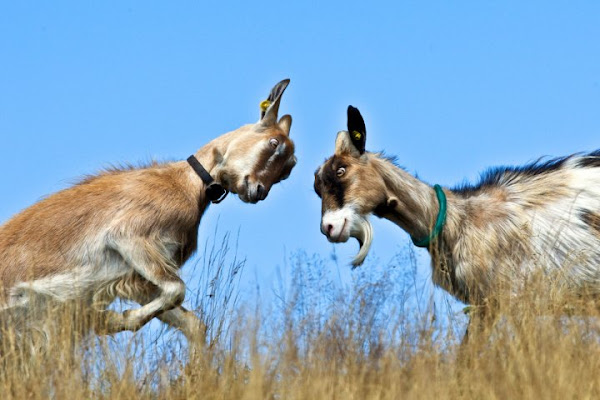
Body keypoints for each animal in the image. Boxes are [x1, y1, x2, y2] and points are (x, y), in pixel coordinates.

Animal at [1, 79, 296, 344]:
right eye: (273, 143)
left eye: (288, 169)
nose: (258, 191)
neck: (184, 185)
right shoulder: (129, 237)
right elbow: (177, 290)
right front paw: (111, 320)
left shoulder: (141, 277)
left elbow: (192, 323)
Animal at [312, 104, 600, 336]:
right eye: (316, 187)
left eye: (342, 170)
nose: (329, 227)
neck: (457, 221)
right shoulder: (486, 303)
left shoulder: (509, 297)